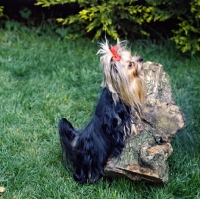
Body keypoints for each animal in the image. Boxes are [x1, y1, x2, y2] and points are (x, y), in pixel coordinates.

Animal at [58, 38, 145, 183]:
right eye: (130, 64)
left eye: (132, 56)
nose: (141, 59)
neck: (117, 91)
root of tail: (78, 140)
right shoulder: (119, 123)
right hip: (94, 157)